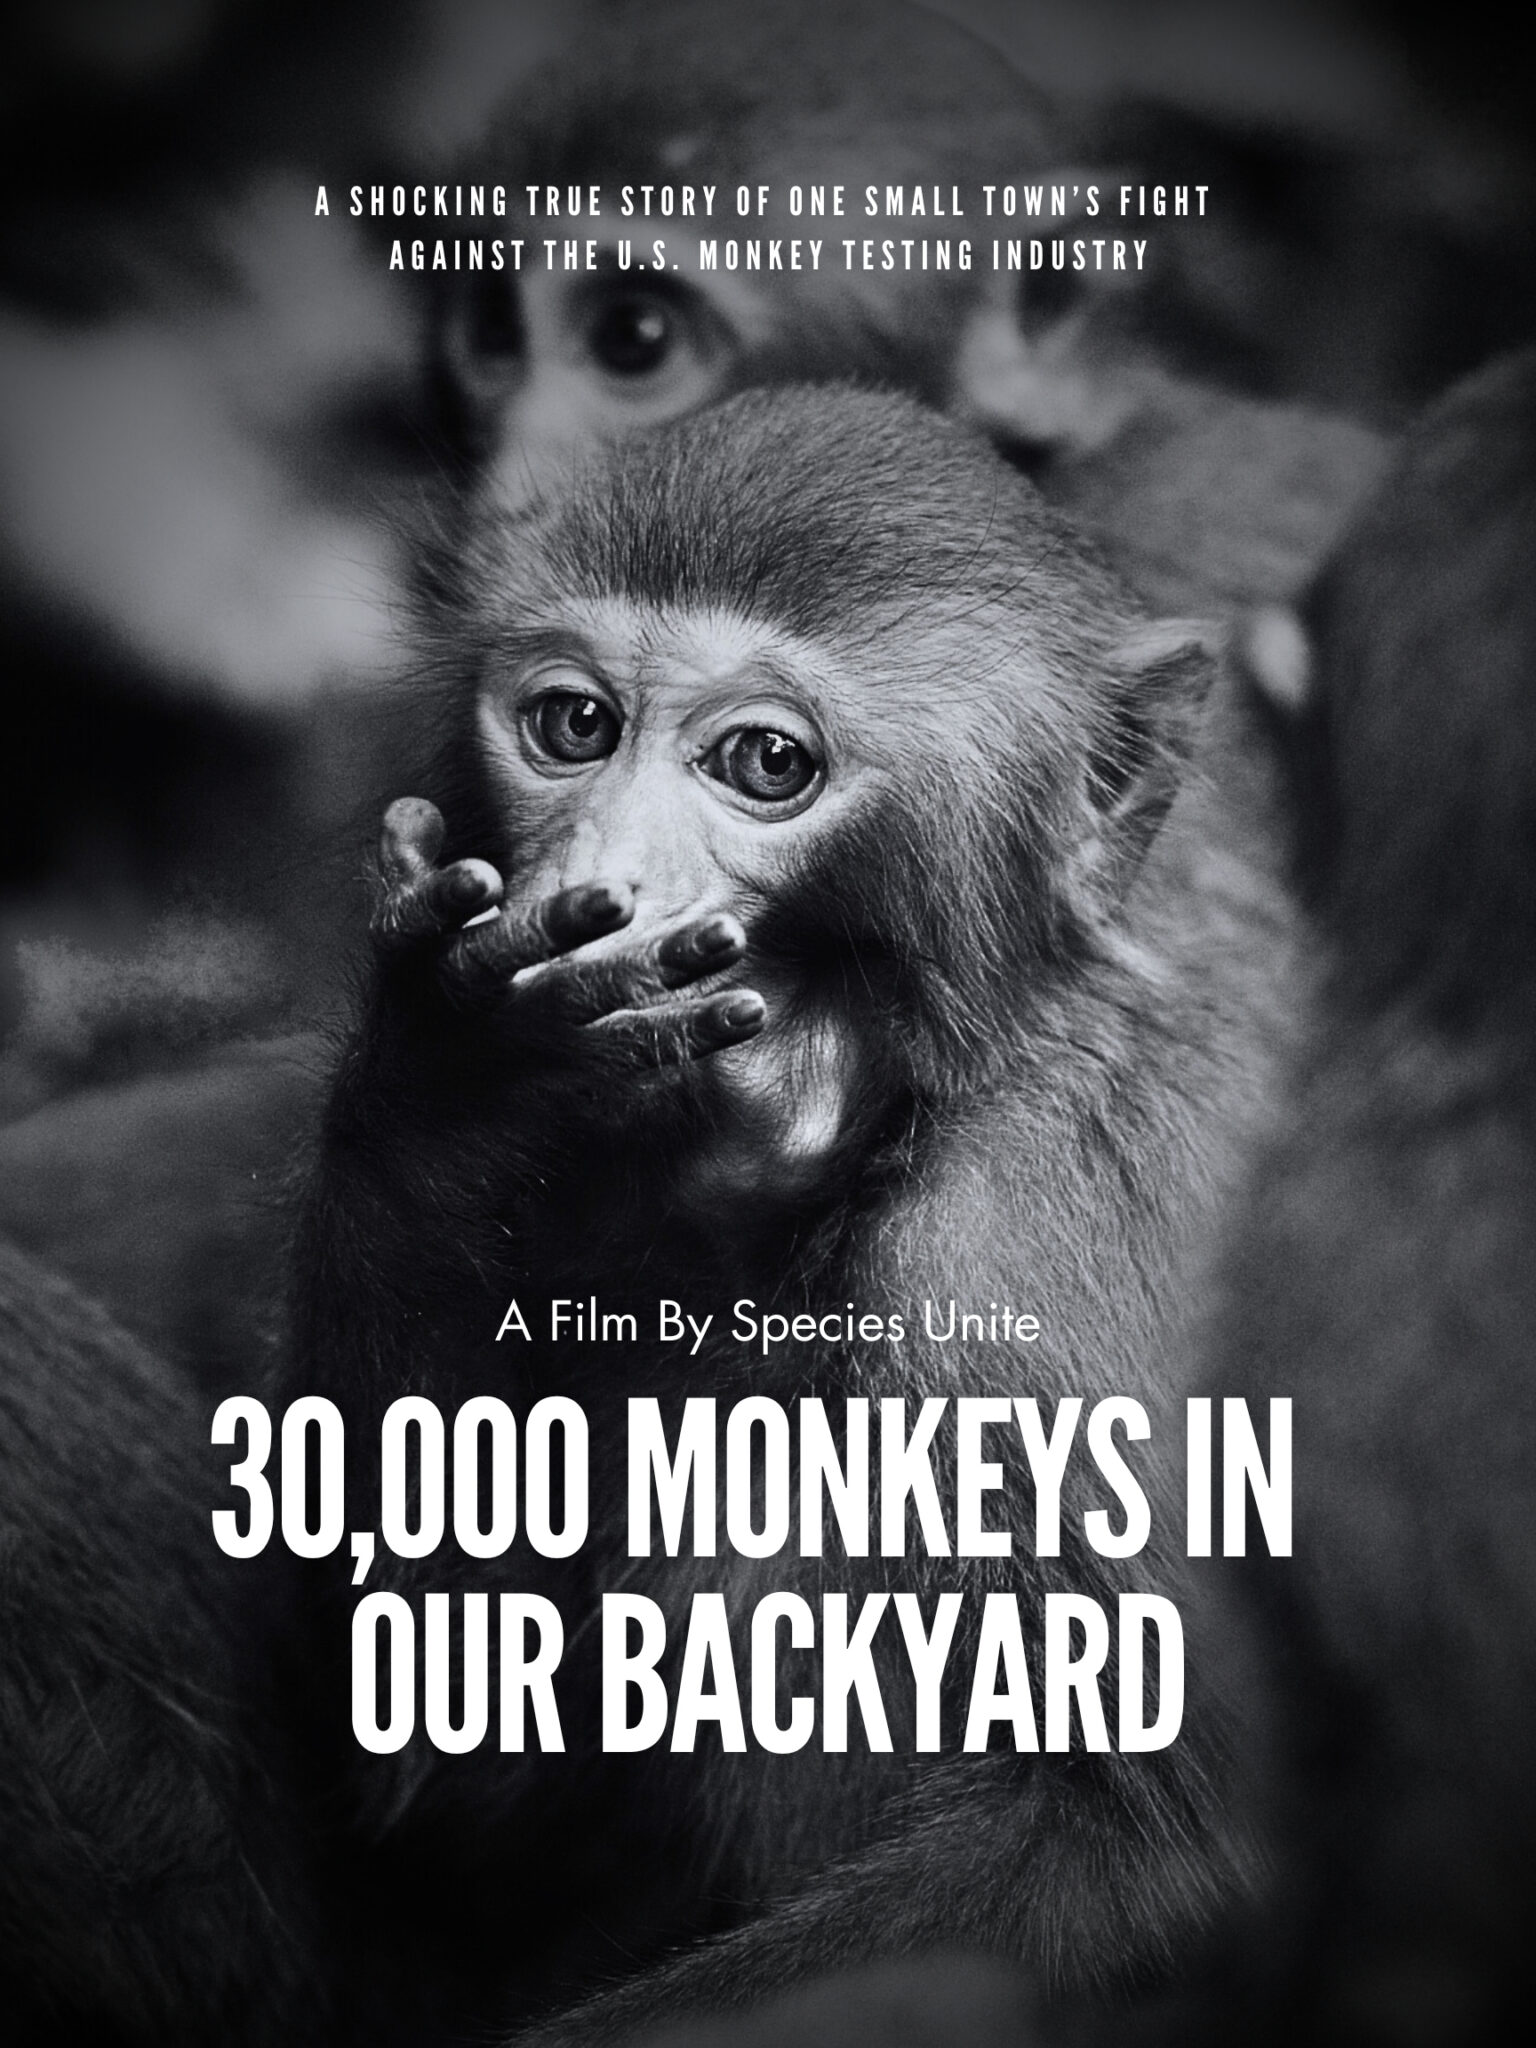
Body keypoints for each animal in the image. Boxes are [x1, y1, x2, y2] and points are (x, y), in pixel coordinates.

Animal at [272, 383, 1298, 2047]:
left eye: (763, 763)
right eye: (573, 727)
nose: (603, 887)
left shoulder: (1022, 1260)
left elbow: (1166, 1863)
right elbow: (455, 1786)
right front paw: (452, 1074)